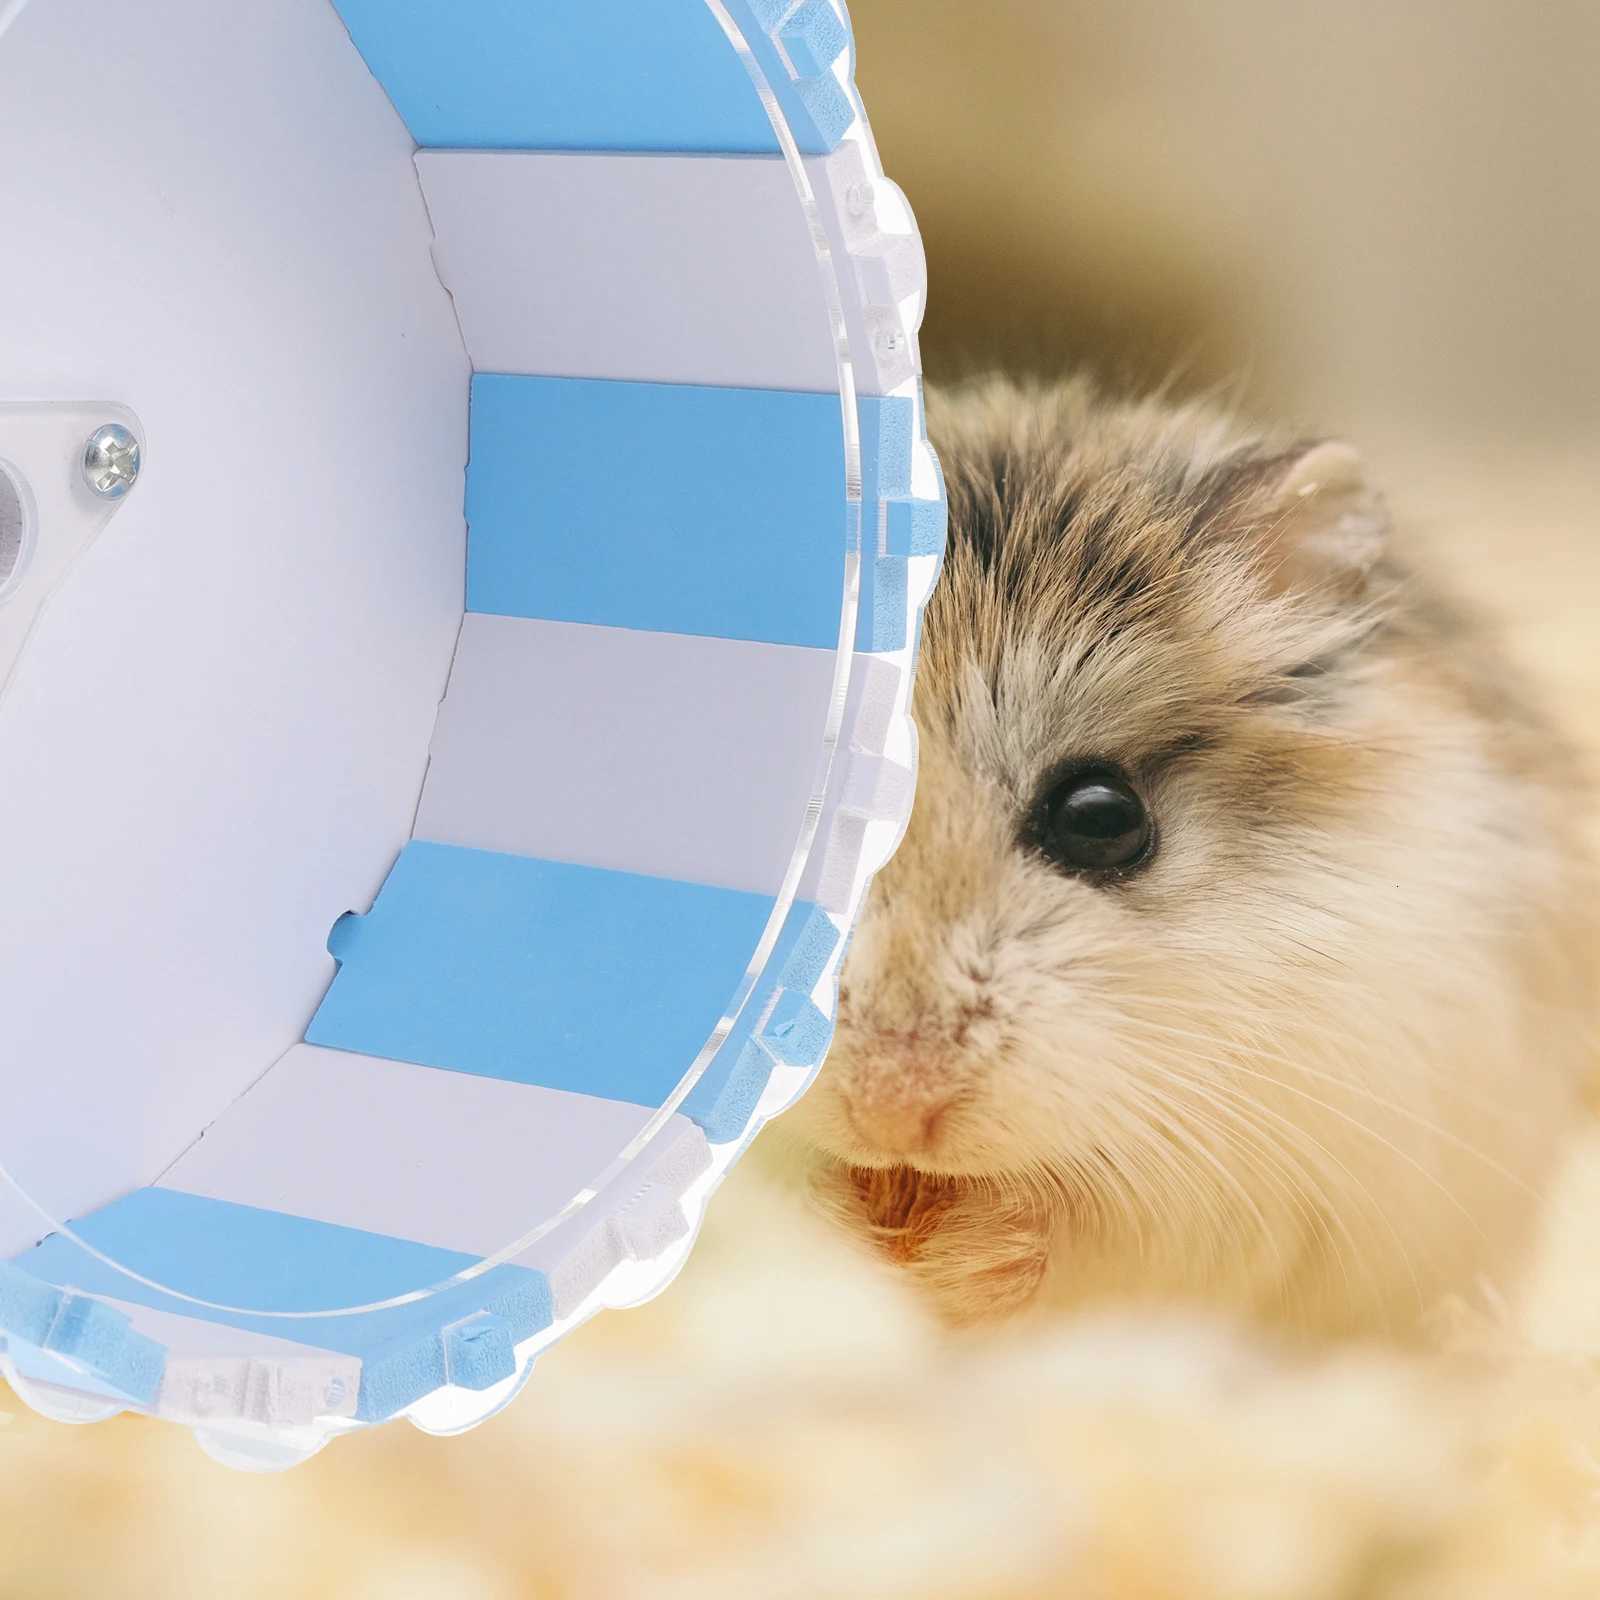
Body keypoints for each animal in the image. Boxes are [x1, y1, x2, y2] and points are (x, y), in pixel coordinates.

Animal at [773, 374, 1597, 1341]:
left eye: (1101, 818)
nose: (889, 1114)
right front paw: (843, 1217)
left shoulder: (1284, 1167)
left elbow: (1097, 1237)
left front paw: (954, 1256)